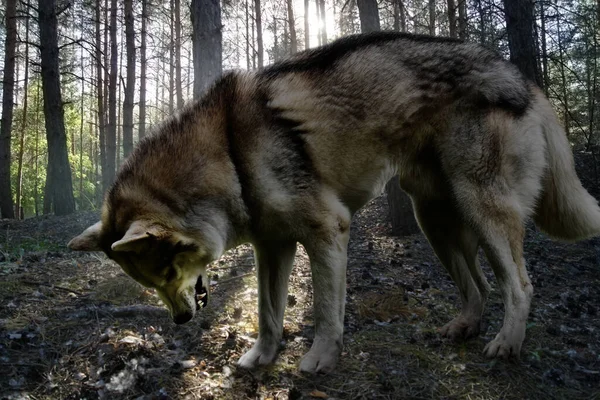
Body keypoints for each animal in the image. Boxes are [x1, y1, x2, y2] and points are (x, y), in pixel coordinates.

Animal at [68, 32, 600, 374]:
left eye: (165, 271)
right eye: (150, 282)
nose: (180, 321)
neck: (229, 152)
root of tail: (521, 76)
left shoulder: (328, 231)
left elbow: (325, 311)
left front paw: (321, 360)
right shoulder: (272, 248)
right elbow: (268, 313)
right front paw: (261, 360)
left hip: (482, 209)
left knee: (520, 286)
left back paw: (506, 344)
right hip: (435, 219)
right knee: (480, 287)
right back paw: (464, 328)